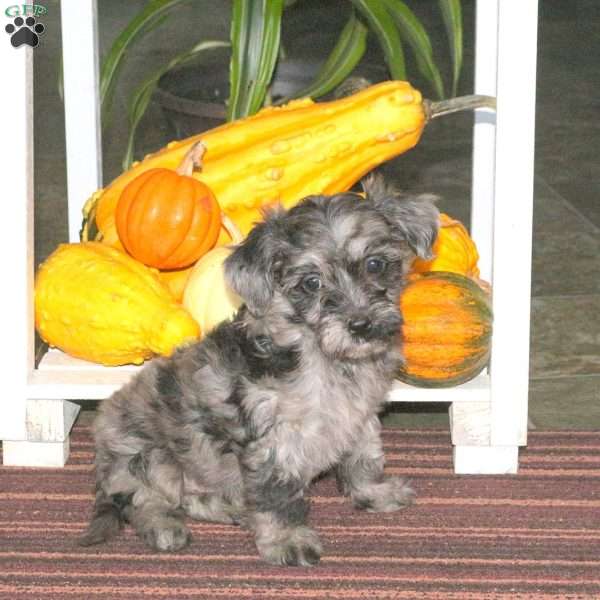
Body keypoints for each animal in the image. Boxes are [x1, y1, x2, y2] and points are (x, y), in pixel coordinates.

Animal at [78, 175, 436, 568]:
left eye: (375, 265)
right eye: (311, 283)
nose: (361, 325)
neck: (325, 356)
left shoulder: (361, 416)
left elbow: (364, 456)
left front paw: (374, 492)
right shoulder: (273, 438)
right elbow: (275, 494)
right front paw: (286, 540)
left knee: (191, 498)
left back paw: (229, 508)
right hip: (146, 458)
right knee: (144, 500)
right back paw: (164, 527)